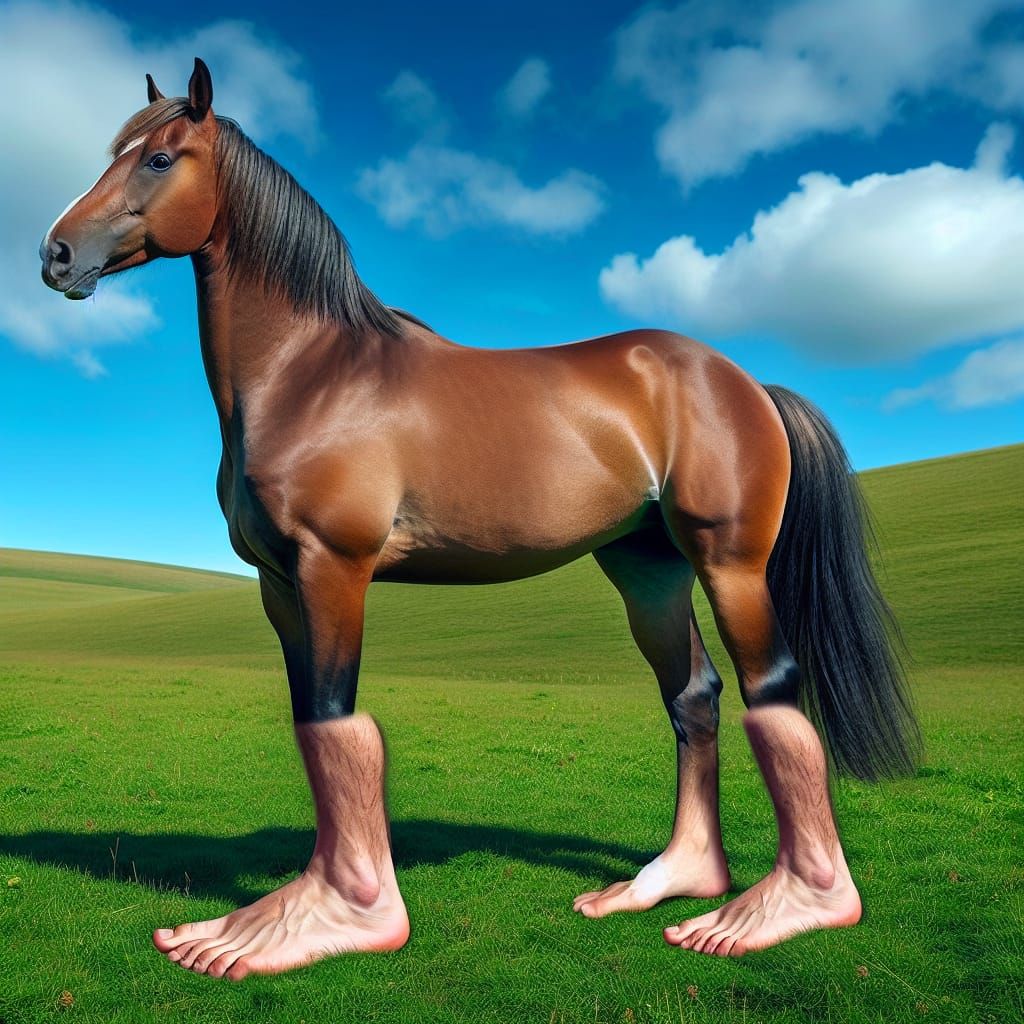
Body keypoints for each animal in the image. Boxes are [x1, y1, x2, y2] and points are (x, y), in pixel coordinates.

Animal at [40, 59, 920, 980]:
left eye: (159, 159)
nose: (55, 254)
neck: (309, 374)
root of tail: (745, 382)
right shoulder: (280, 584)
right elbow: (313, 722)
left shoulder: (332, 567)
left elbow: (336, 718)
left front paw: (341, 920)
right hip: (647, 571)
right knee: (693, 696)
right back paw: (672, 882)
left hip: (732, 566)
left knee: (771, 693)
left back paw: (789, 909)